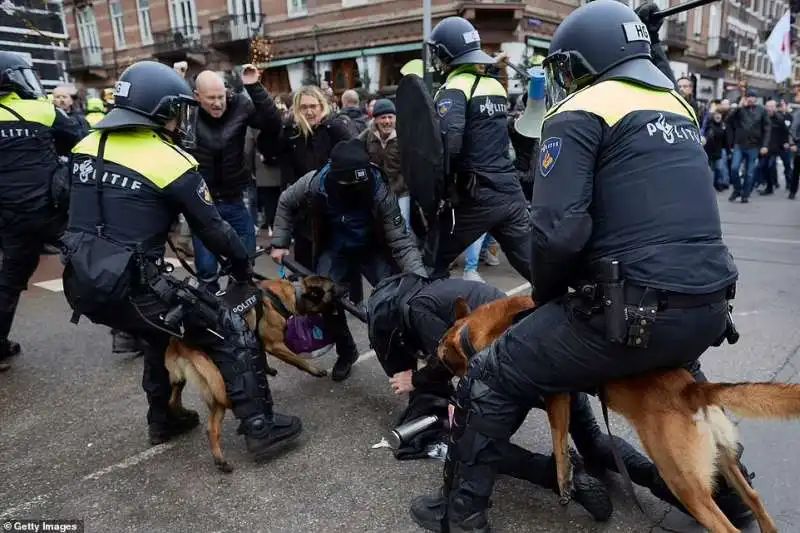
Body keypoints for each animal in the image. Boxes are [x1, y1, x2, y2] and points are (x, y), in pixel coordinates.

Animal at [164, 274, 336, 470]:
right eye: (332, 291)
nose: (344, 294)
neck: (285, 293)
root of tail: (179, 344)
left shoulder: (258, 338)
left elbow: (260, 353)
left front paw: (267, 368)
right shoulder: (276, 345)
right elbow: (298, 360)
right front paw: (315, 370)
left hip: (206, 388)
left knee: (182, 407)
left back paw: (218, 458)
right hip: (222, 382)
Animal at [438, 296, 800, 532]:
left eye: (441, 357)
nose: (448, 391)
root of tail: (691, 390)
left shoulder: (555, 395)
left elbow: (558, 440)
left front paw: (564, 481)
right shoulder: (564, 397)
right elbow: (563, 435)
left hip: (684, 482)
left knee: (727, 528)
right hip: (725, 465)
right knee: (755, 500)